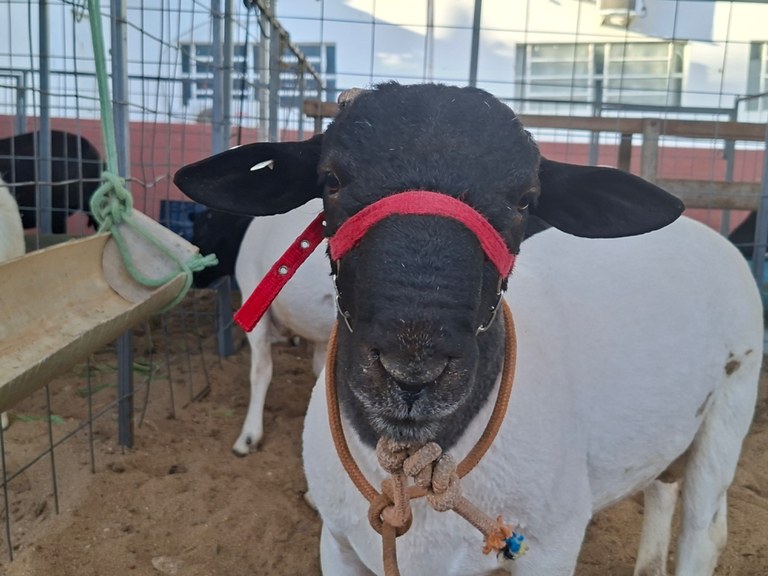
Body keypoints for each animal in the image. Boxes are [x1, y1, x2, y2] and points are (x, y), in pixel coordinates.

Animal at [174, 82, 763, 576]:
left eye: (526, 200)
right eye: (331, 181)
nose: (412, 371)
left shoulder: (549, 549)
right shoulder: (338, 545)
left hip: (731, 406)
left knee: (701, 533)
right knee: (662, 486)